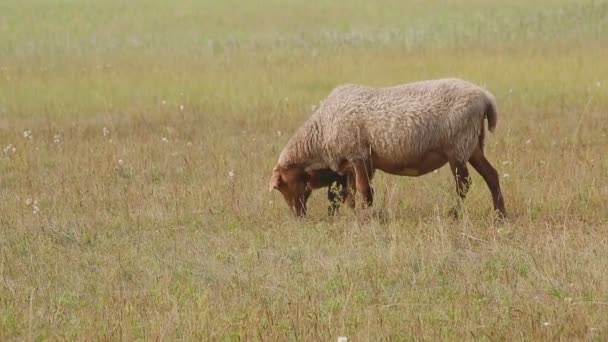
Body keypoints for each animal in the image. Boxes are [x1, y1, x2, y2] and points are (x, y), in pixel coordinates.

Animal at [268, 77, 506, 219]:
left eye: (283, 185)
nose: (298, 217)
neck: (321, 134)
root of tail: (485, 97)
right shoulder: (353, 164)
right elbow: (348, 194)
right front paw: (350, 216)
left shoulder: (357, 155)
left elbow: (363, 191)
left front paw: (364, 219)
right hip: (473, 146)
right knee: (492, 176)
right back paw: (500, 215)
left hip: (458, 147)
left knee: (464, 184)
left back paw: (455, 214)